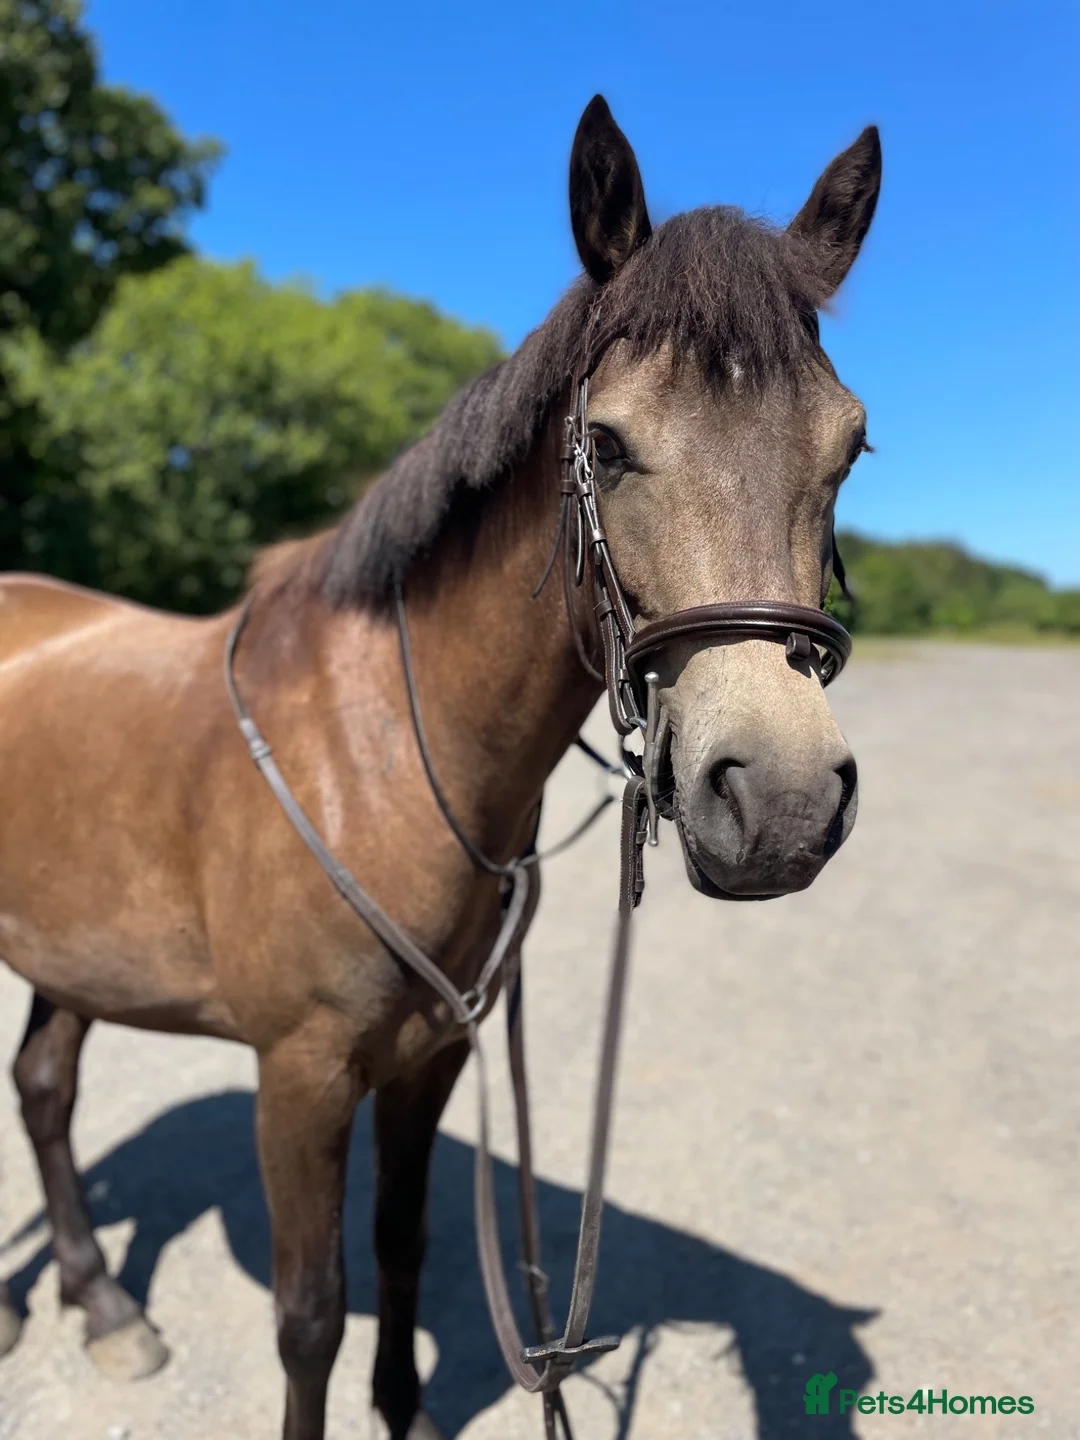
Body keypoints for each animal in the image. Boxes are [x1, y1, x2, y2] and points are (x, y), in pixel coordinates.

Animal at [0, 95, 880, 1440]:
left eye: (850, 448)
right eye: (607, 444)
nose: (776, 800)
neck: (382, 761)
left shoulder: (432, 1055)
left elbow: (406, 1250)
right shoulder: (302, 1076)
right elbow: (310, 1313)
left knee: (43, 1084)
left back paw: (103, 1308)